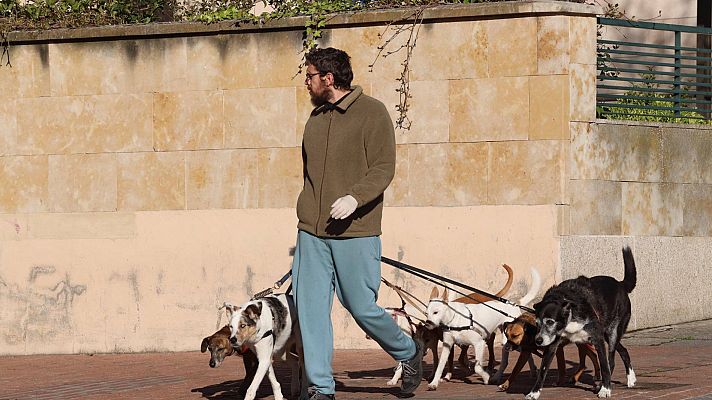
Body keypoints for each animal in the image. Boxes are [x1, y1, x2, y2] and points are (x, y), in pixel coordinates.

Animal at [524, 245, 636, 398]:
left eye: (550, 322)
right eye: (537, 323)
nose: (538, 341)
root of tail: (620, 285)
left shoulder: (597, 338)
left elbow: (604, 365)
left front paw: (605, 389)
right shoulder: (552, 344)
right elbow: (543, 370)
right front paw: (534, 393)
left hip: (612, 333)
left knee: (611, 360)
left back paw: (607, 385)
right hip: (607, 333)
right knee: (623, 351)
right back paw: (630, 378)